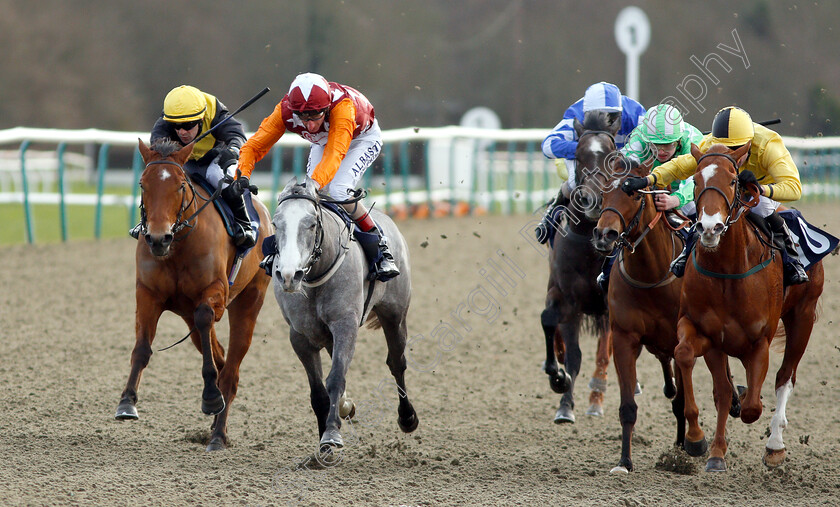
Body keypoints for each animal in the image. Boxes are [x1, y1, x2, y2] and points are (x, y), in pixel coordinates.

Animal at [115, 140, 270, 452]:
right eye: (142, 184)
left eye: (180, 186)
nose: (157, 238)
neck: (178, 245)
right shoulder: (147, 294)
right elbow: (142, 347)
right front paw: (127, 402)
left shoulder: (215, 293)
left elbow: (205, 316)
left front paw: (210, 396)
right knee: (220, 357)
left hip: (250, 300)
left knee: (231, 369)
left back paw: (218, 435)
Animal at [266, 180, 416, 456]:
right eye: (275, 223)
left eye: (311, 224)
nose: (289, 275)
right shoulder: (300, 336)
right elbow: (318, 392)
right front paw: (324, 442)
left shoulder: (345, 325)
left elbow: (335, 378)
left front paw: (331, 433)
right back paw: (346, 405)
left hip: (395, 315)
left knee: (397, 363)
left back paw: (407, 417)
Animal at [540, 111, 620, 424]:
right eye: (578, 154)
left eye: (613, 156)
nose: (593, 199)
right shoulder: (565, 297)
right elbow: (551, 323)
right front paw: (560, 388)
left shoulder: (610, 304)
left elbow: (604, 352)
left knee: (605, 352)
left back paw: (598, 396)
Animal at [672, 143, 824, 472]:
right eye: (695, 181)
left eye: (733, 180)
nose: (709, 227)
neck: (728, 271)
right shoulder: (706, 332)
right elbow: (691, 360)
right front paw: (703, 444)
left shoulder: (759, 341)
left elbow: (753, 407)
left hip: (803, 316)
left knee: (785, 376)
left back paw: (775, 445)